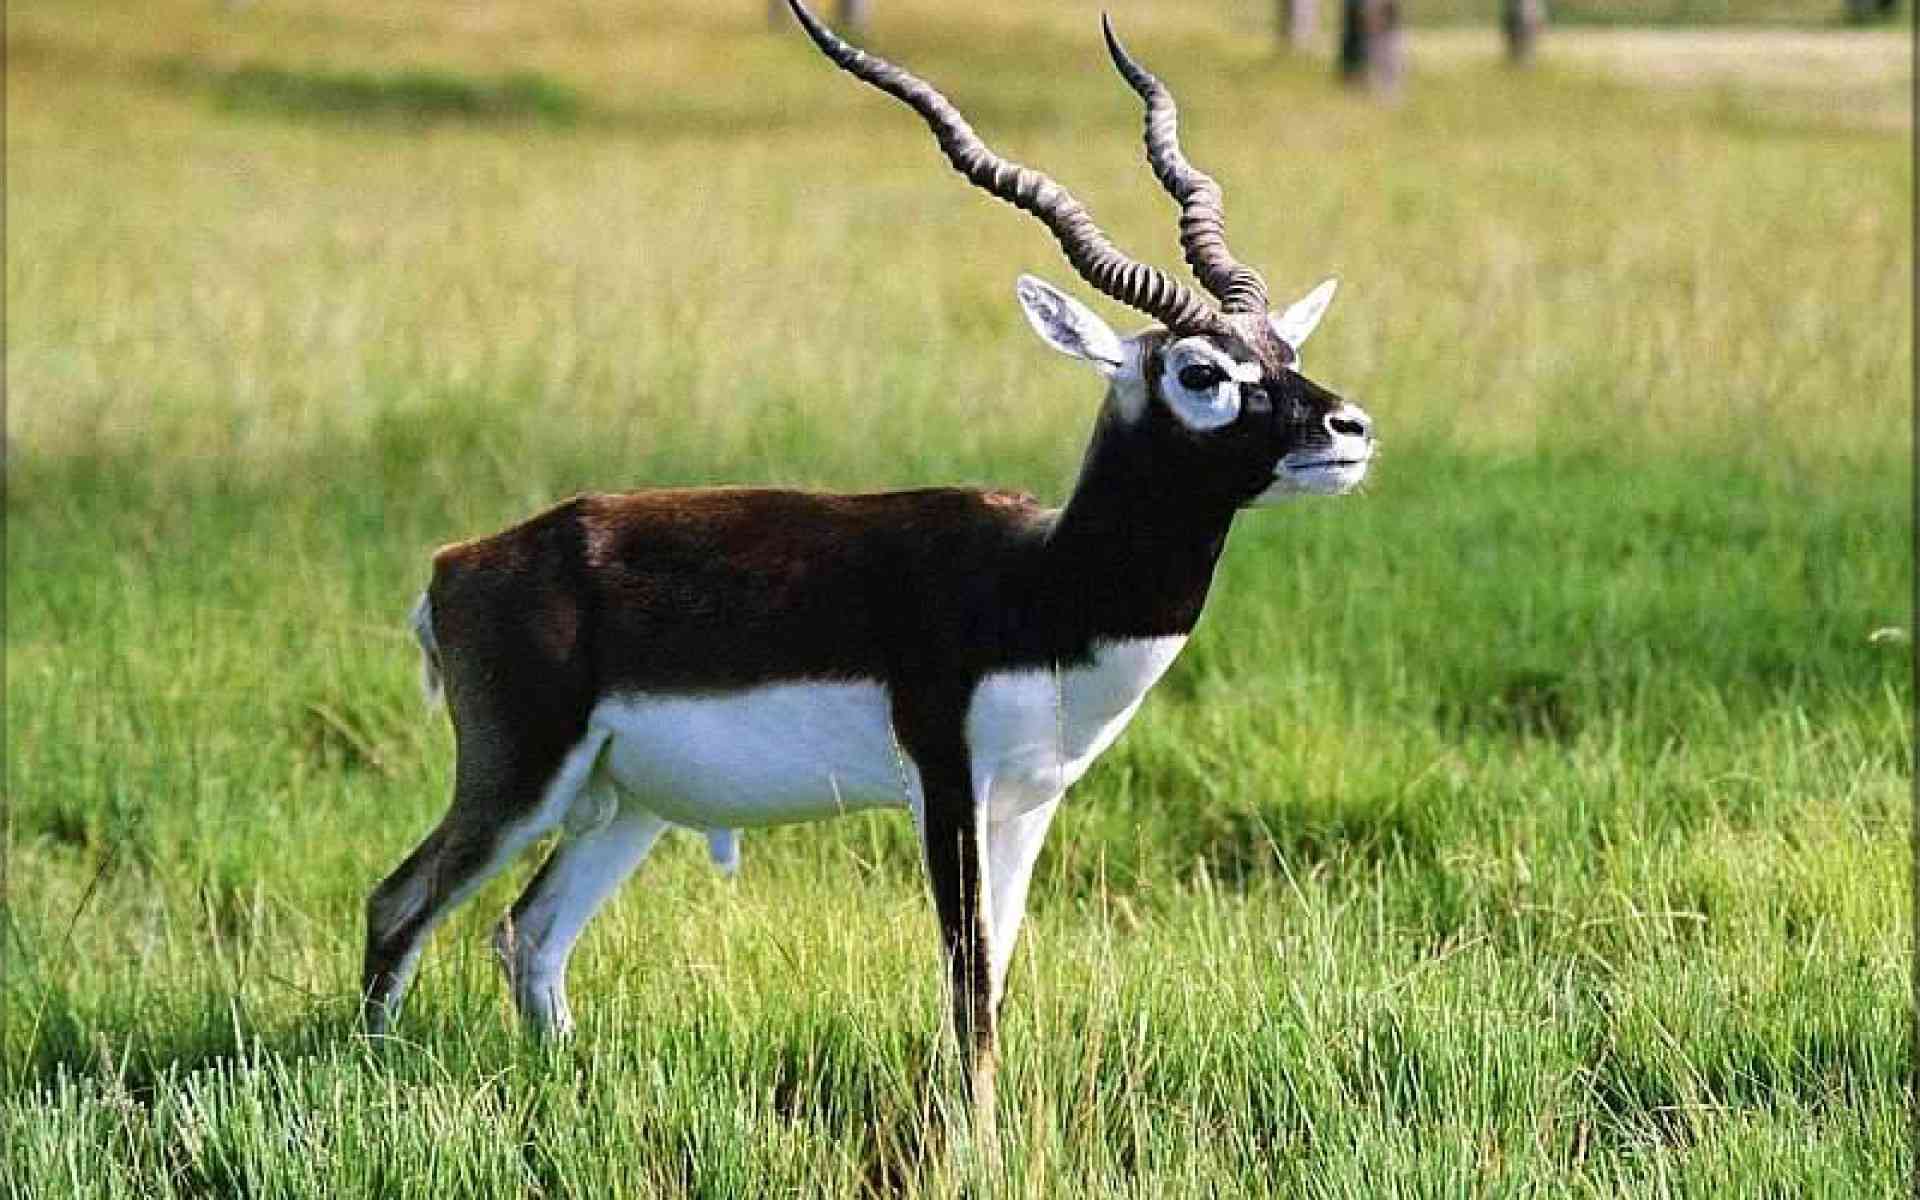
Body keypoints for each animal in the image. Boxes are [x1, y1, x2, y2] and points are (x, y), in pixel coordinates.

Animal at [360, 0, 1375, 1125]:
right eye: (1203, 373)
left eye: (1285, 354)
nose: (1349, 429)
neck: (1040, 589)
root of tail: (458, 565)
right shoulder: (946, 783)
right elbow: (967, 980)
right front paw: (977, 1142)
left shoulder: (1030, 805)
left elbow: (1000, 975)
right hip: (518, 777)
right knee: (398, 905)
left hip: (626, 802)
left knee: (528, 934)